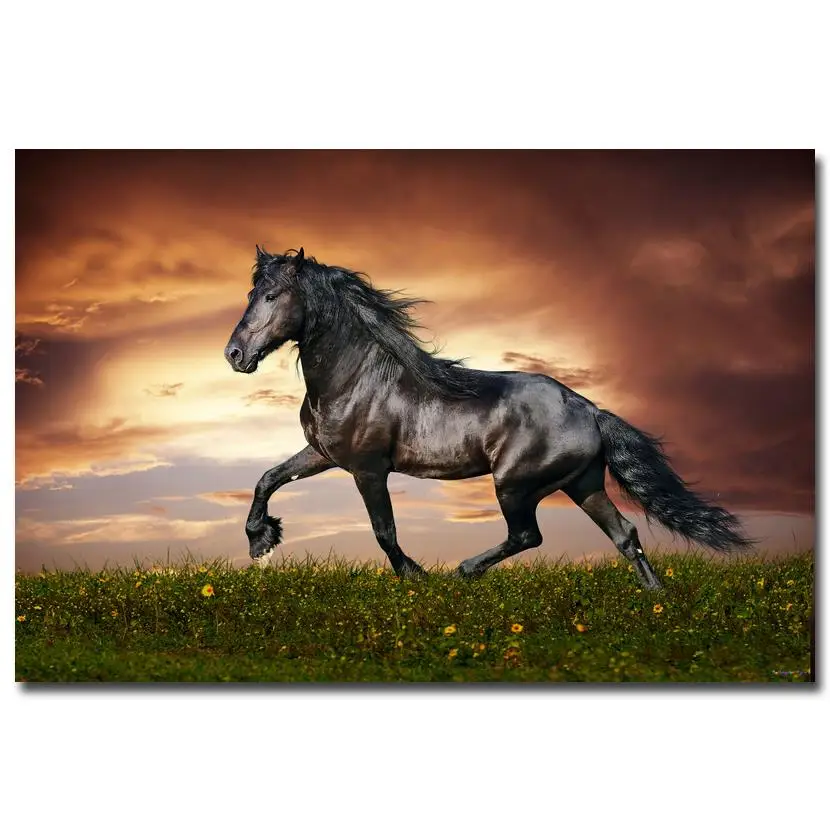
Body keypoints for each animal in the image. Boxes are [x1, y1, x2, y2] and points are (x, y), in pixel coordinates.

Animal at [224, 246, 751, 589]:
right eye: (251, 293)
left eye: (272, 296)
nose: (234, 354)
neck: (356, 377)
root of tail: (590, 410)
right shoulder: (324, 454)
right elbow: (268, 478)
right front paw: (261, 541)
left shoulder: (368, 469)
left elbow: (384, 531)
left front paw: (416, 577)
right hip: (582, 484)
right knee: (625, 535)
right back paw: (656, 602)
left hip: (515, 484)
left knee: (528, 535)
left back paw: (463, 571)